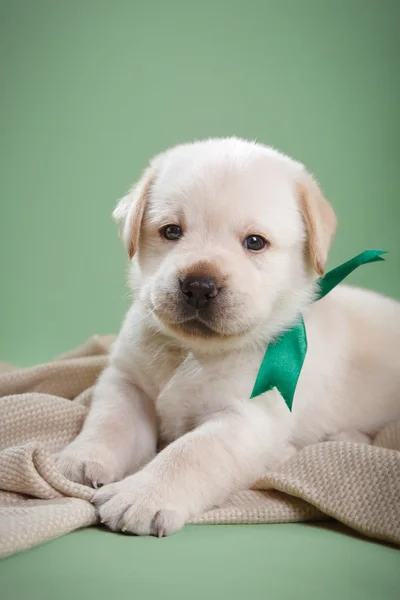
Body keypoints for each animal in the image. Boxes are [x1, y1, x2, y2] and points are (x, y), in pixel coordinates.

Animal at [55, 138, 400, 536]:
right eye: (171, 231)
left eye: (255, 242)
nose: (199, 286)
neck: (193, 352)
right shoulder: (127, 381)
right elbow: (110, 420)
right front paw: (82, 458)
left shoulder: (246, 418)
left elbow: (190, 453)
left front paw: (142, 495)